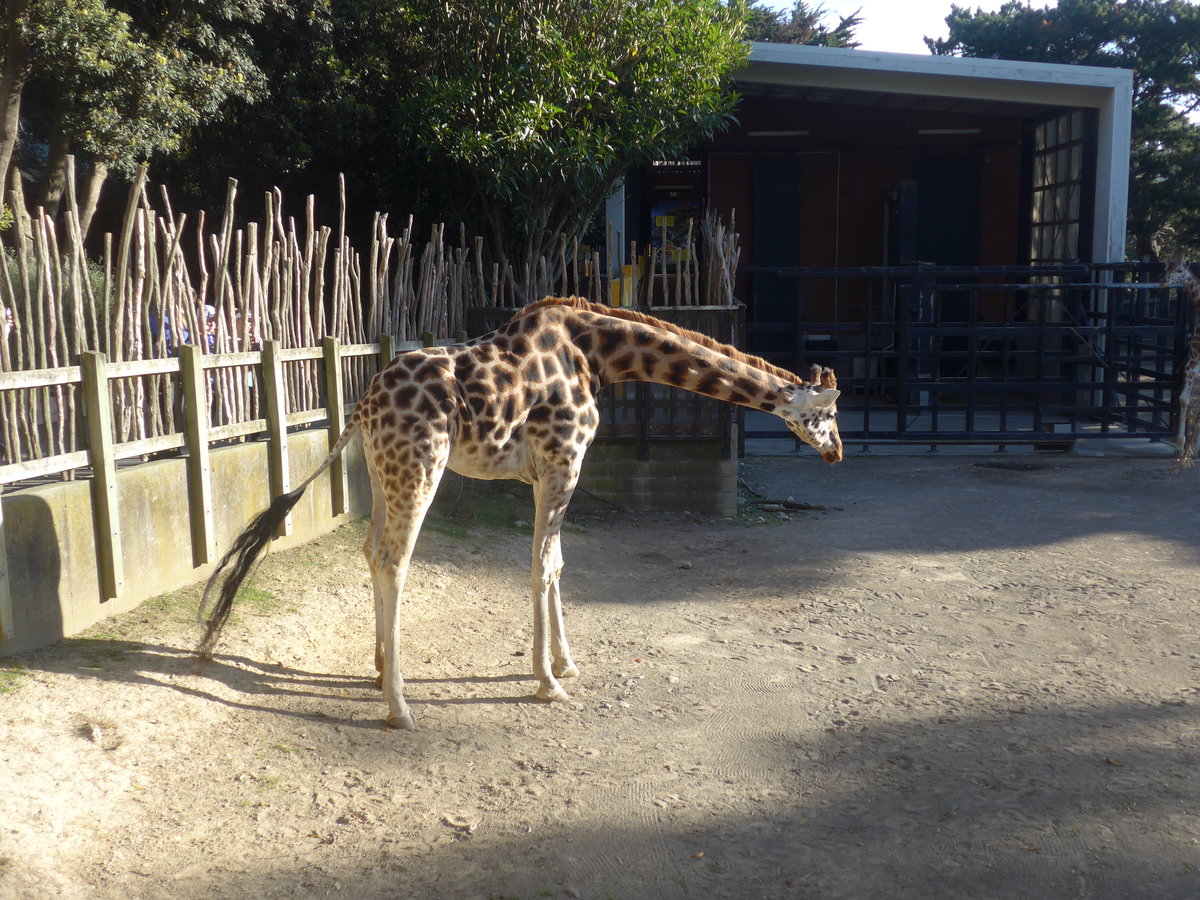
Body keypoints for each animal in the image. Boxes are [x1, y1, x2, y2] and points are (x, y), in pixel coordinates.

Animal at [198, 296, 843, 729]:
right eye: (829, 414)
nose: (836, 451)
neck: (598, 354)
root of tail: (364, 402)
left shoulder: (548, 472)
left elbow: (556, 565)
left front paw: (566, 662)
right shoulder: (564, 462)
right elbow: (541, 566)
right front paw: (547, 682)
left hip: (381, 474)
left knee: (370, 549)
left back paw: (380, 671)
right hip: (420, 467)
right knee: (394, 559)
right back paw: (400, 706)